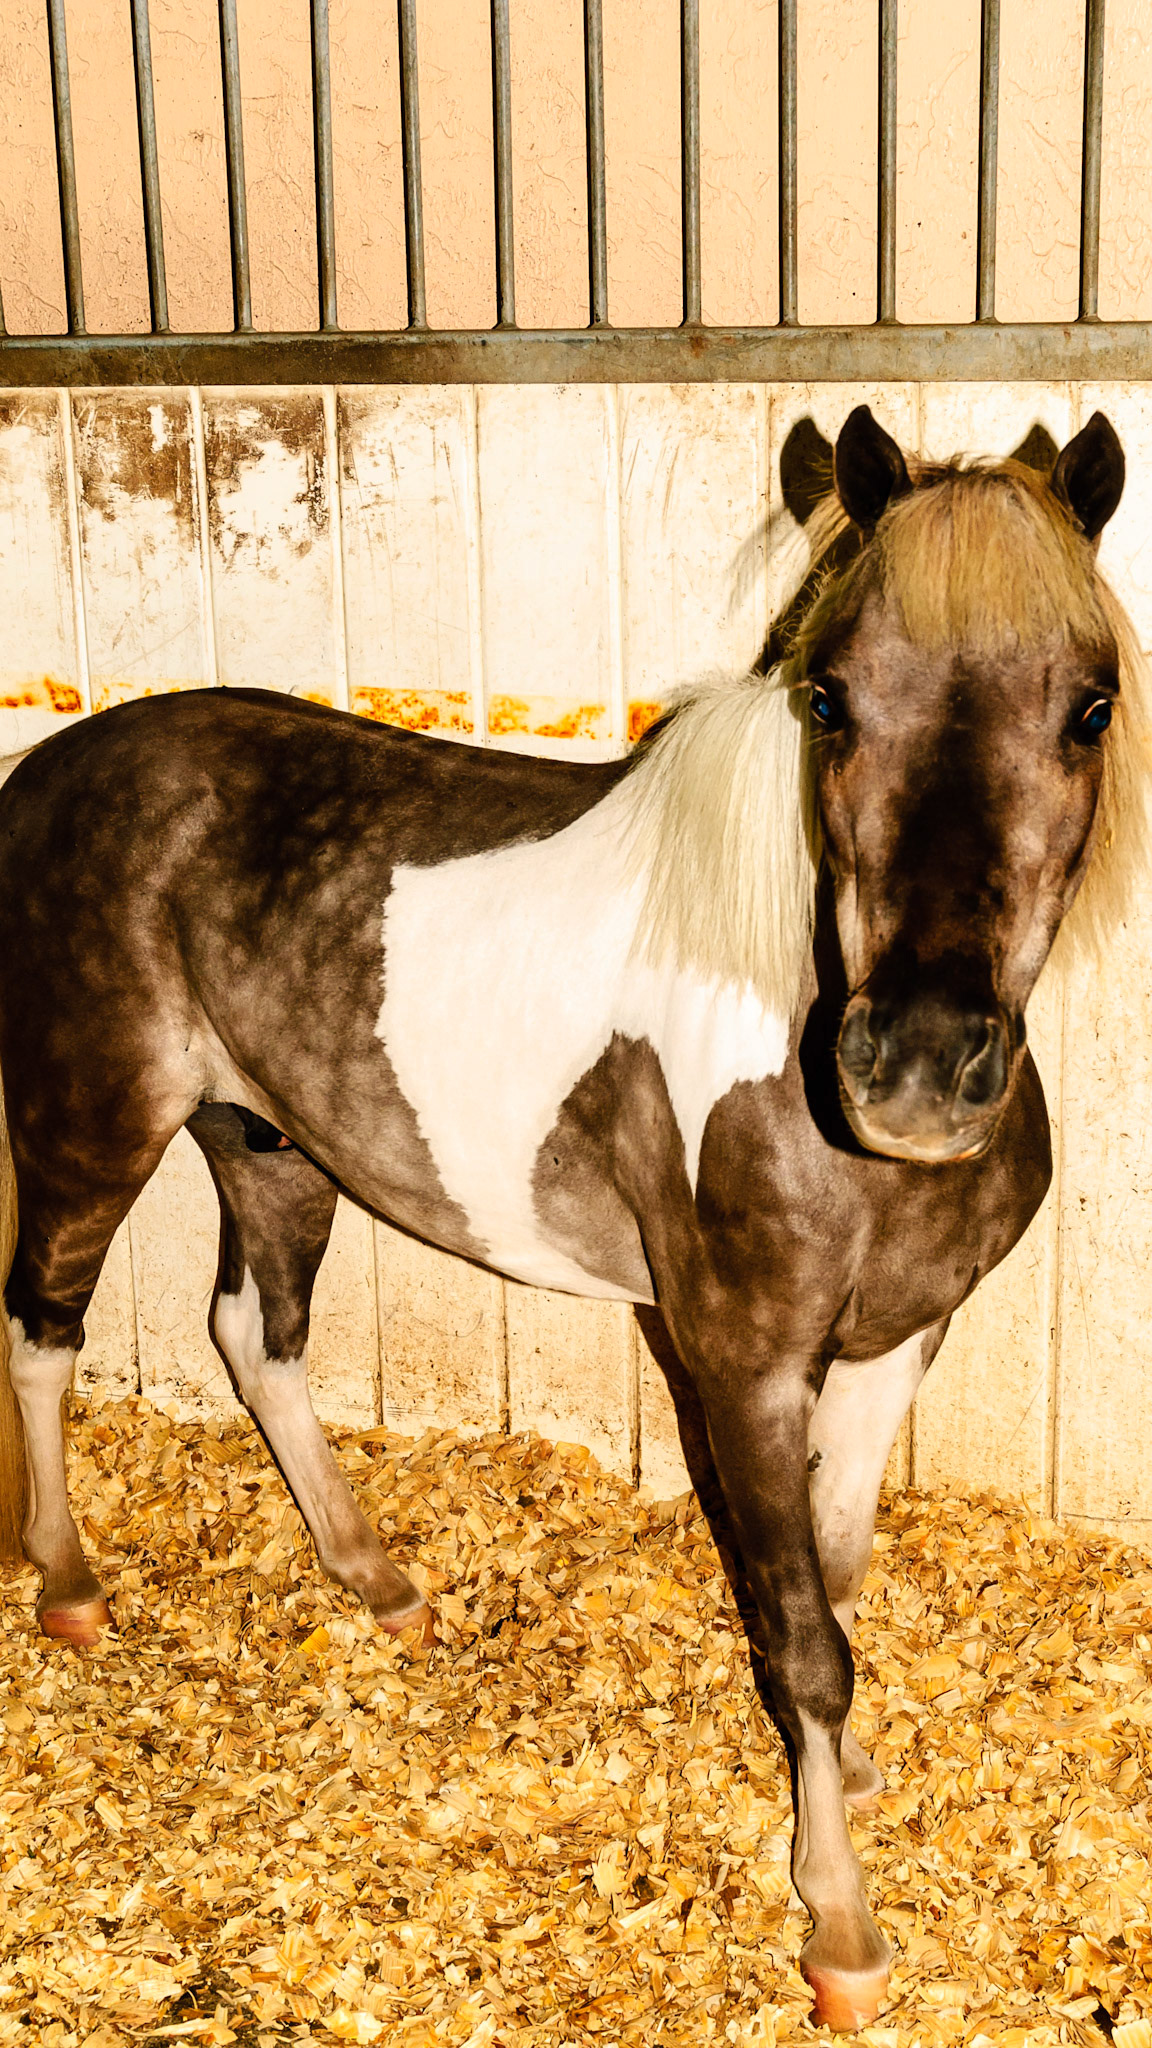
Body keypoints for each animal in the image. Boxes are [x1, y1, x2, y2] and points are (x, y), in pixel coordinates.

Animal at [0, 404, 1142, 2031]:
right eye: (834, 698)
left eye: (1090, 707)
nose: (919, 1068)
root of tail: (50, 770)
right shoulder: (740, 1365)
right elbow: (804, 1641)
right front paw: (840, 1928)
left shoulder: (889, 1349)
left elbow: (838, 1579)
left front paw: (846, 1784)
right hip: (95, 1124)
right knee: (45, 1327)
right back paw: (71, 1583)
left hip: (268, 1143)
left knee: (253, 1337)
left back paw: (378, 1584)